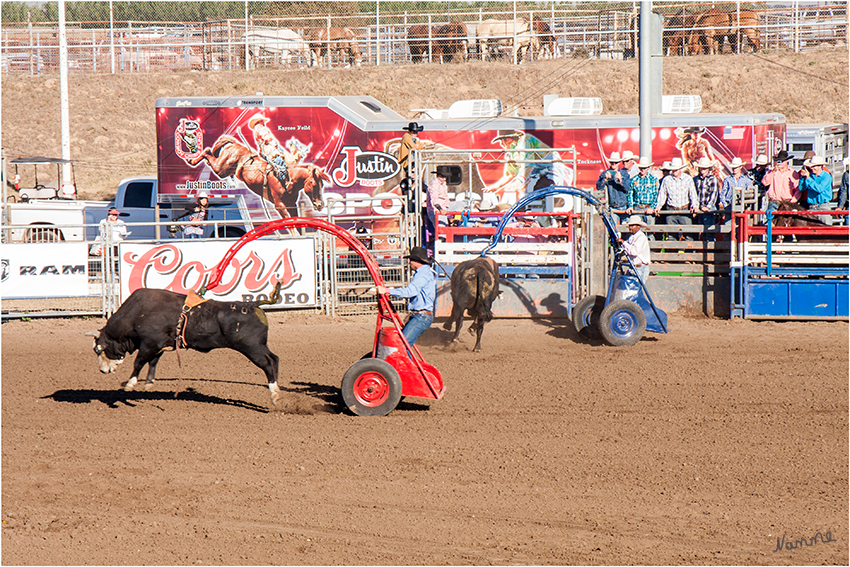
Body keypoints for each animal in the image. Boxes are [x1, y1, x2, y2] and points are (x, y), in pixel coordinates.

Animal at [90, 286, 282, 406]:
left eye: (99, 349)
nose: (102, 370)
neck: (138, 313)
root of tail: (252, 304)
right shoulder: (159, 345)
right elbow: (153, 363)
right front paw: (149, 383)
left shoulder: (149, 344)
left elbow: (139, 362)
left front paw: (130, 384)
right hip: (259, 346)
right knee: (275, 359)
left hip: (252, 348)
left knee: (268, 364)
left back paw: (274, 393)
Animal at [186, 135, 324, 220]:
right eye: (314, 184)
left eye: (322, 185)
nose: (320, 205)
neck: (286, 179)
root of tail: (235, 144)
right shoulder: (279, 205)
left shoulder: (291, 205)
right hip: (221, 169)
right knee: (207, 152)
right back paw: (191, 160)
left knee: (209, 153)